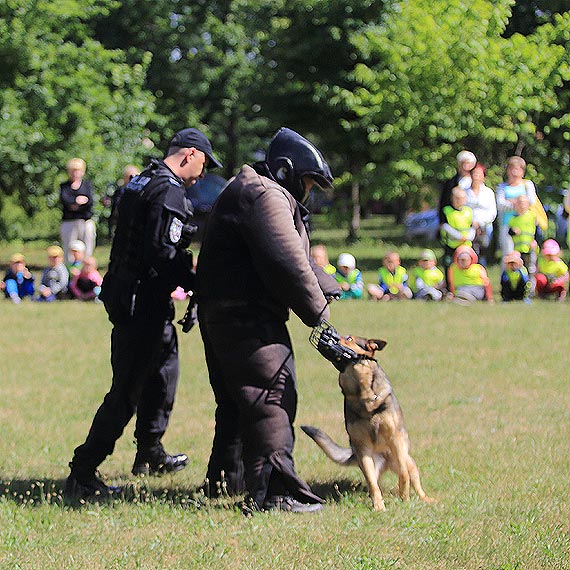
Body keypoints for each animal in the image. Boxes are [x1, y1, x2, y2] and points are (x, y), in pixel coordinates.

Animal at [302, 336, 430, 508]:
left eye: (349, 338)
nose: (326, 337)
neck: (363, 396)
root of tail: (386, 461)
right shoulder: (363, 448)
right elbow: (372, 483)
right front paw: (379, 507)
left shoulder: (396, 439)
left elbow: (404, 475)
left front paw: (405, 499)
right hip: (370, 462)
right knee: (375, 483)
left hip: (408, 461)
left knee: (413, 478)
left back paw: (425, 499)